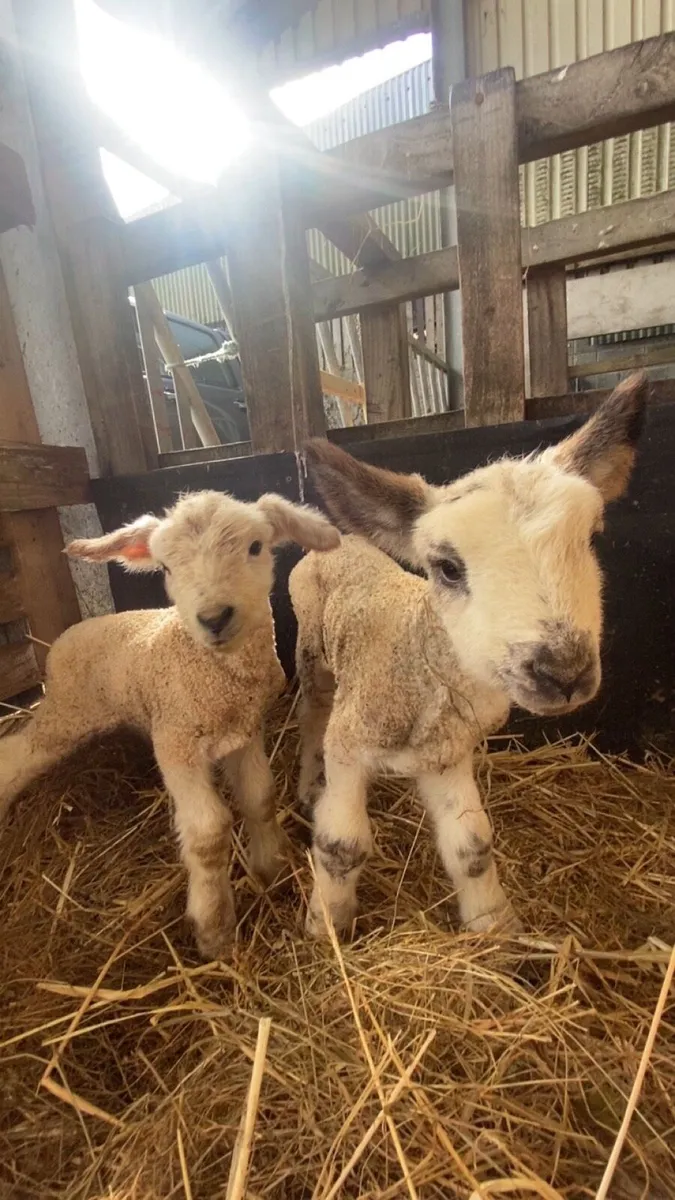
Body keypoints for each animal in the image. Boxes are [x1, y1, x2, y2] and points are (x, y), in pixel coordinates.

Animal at [0, 489, 339, 960]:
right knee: (14, 756)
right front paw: (214, 931)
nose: (214, 617)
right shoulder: (176, 741)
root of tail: (65, 637)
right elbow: (209, 832)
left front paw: (271, 868)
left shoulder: (245, 730)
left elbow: (259, 798)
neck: (214, 674)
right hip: (65, 713)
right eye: (165, 568)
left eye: (255, 547)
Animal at [289, 373, 648, 940]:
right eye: (448, 568)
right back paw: (308, 784)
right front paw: (325, 928)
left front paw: (495, 925)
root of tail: (344, 538)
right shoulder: (349, 746)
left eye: (592, 539)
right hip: (311, 650)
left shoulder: (448, 754)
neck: (421, 663)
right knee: (311, 714)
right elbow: (341, 847)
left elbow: (472, 846)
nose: (563, 672)